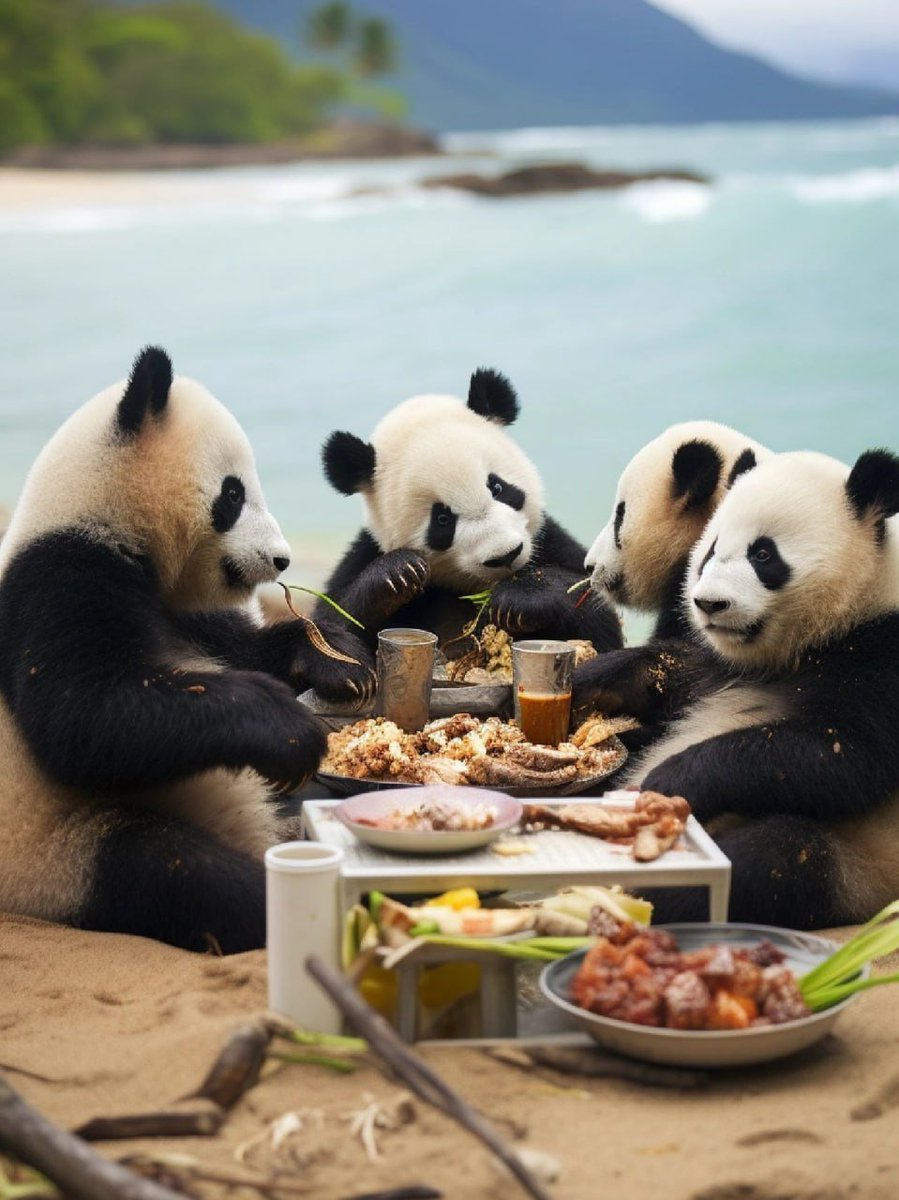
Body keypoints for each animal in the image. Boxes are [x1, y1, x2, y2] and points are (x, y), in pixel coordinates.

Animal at [0, 347, 375, 954]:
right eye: (233, 493)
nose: (281, 559)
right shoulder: (56, 576)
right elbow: (86, 712)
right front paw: (287, 731)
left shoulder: (192, 614)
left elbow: (245, 651)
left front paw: (339, 659)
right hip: (58, 854)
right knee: (180, 873)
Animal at [317, 368, 622, 656]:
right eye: (442, 520)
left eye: (497, 487)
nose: (505, 555)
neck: (475, 588)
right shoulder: (365, 553)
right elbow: (333, 620)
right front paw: (396, 574)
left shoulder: (550, 542)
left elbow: (598, 620)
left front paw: (521, 598)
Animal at [572, 447, 899, 930]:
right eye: (709, 550)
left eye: (763, 554)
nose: (709, 603)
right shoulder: (719, 660)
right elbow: (675, 676)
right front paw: (594, 680)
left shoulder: (882, 654)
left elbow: (843, 753)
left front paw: (668, 780)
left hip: (860, 864)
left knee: (775, 857)